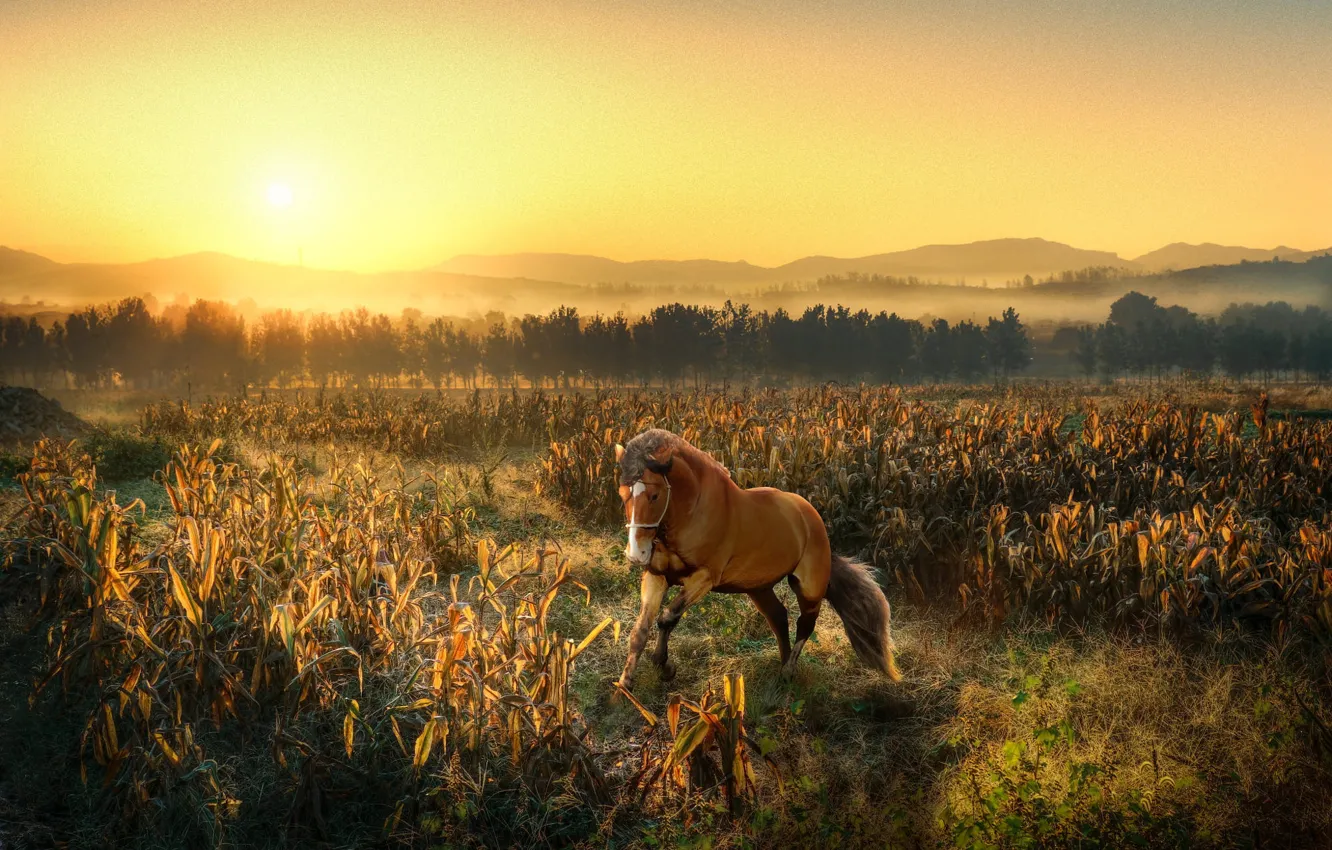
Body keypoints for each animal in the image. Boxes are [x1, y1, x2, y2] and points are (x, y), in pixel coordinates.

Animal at [613, 428, 902, 690]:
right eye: (622, 494)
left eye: (654, 495)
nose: (636, 554)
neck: (692, 512)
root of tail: (811, 516)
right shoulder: (657, 577)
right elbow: (640, 630)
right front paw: (625, 685)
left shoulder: (703, 578)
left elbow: (667, 617)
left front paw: (665, 668)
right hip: (759, 588)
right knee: (779, 618)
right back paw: (782, 669)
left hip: (809, 587)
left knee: (805, 624)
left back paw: (787, 672)